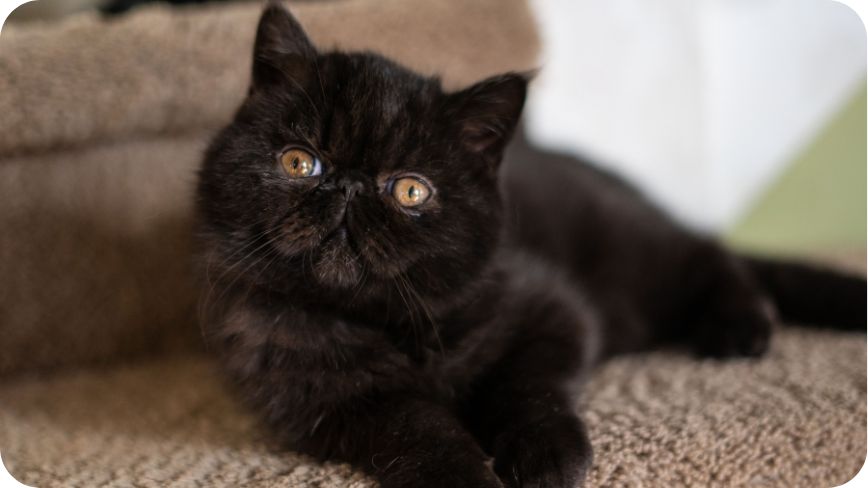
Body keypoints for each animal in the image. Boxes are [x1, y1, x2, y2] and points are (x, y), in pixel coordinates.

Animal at [197, 4, 868, 488]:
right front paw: (462, 476)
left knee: (709, 254)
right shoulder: (321, 401)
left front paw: (546, 455)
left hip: (632, 249)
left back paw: (739, 329)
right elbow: (410, 425)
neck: (389, 323)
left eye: (411, 190)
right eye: (299, 162)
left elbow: (530, 382)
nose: (348, 187)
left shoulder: (550, 308)